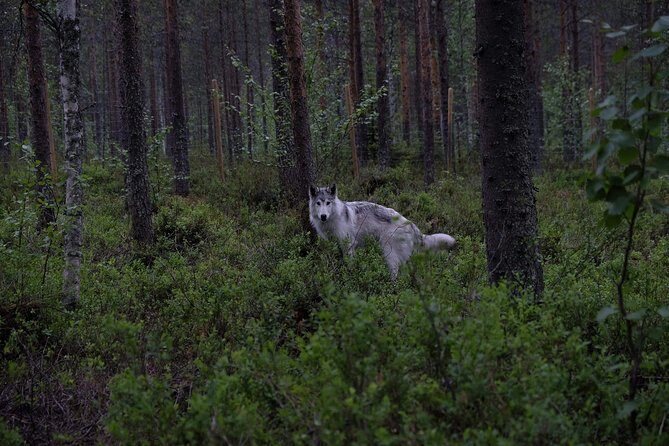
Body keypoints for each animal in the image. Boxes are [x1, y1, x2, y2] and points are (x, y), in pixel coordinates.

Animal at [309, 184, 456, 279]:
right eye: (318, 203)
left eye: (328, 203)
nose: (323, 216)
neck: (332, 220)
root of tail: (409, 223)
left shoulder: (349, 246)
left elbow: (349, 265)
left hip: (389, 254)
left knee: (395, 274)